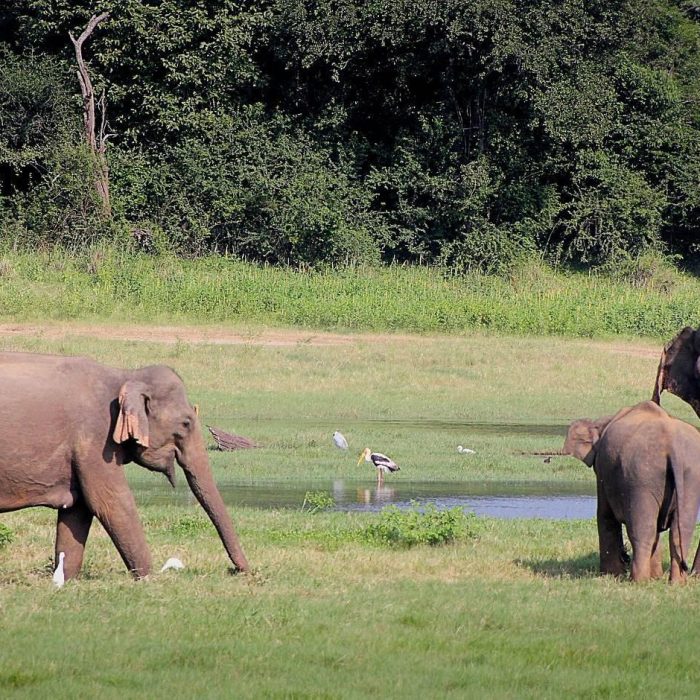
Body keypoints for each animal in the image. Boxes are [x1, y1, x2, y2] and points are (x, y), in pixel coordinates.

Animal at [0, 352, 250, 584]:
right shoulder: (95, 439)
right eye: (186, 423)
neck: (126, 375)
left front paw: (65, 581)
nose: (238, 570)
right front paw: (148, 579)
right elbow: (109, 502)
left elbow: (79, 508)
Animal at [564, 402, 700, 584]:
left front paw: (611, 575)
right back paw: (676, 583)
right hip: (689, 476)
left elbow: (604, 515)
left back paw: (638, 581)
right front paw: (655, 577)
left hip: (641, 476)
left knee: (642, 529)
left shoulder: (602, 470)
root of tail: (673, 445)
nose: (625, 556)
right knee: (680, 531)